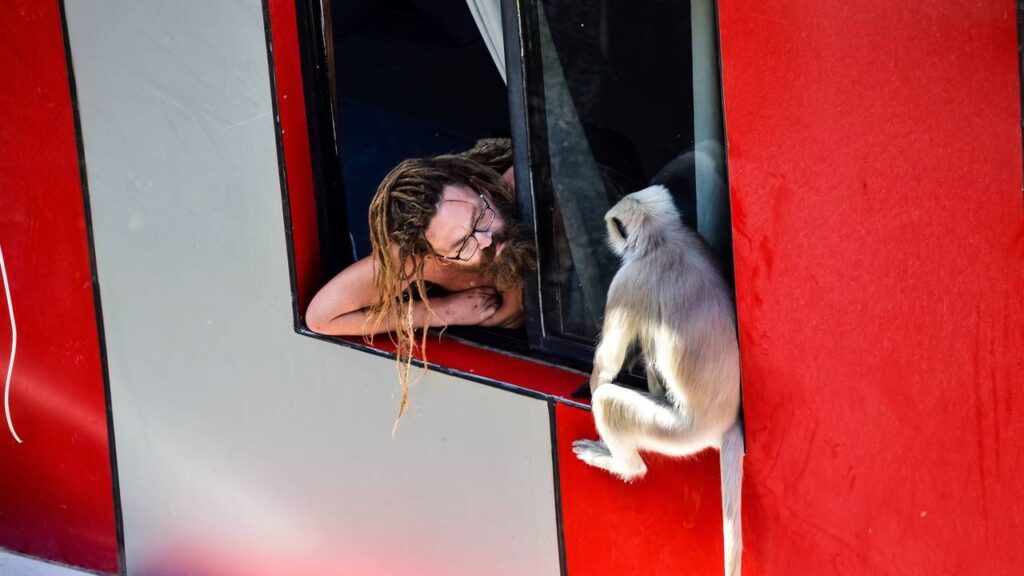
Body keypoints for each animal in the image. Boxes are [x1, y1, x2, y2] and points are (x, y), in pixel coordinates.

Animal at [569, 183, 745, 573]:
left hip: (678, 433)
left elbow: (605, 368)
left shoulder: (628, 280)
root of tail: (726, 423)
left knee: (609, 402)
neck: (663, 240)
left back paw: (622, 465)